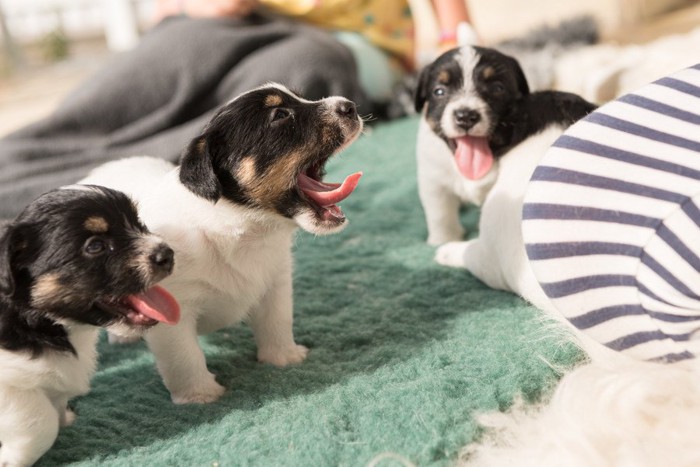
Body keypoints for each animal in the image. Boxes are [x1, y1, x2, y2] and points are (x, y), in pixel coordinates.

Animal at [0, 186, 180, 467]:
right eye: (95, 246)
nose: (167, 254)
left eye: (138, 222)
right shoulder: (9, 387)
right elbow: (40, 421)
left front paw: (65, 417)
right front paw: (12, 459)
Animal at [81, 82, 364, 404]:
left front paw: (283, 357)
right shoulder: (173, 310)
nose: (350, 106)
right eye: (280, 115)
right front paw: (200, 396)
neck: (241, 229)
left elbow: (277, 322)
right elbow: (184, 358)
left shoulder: (275, 282)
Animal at [416, 45, 596, 247]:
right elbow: (440, 213)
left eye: (498, 88)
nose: (465, 116)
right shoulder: (433, 179)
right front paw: (442, 240)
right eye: (439, 91)